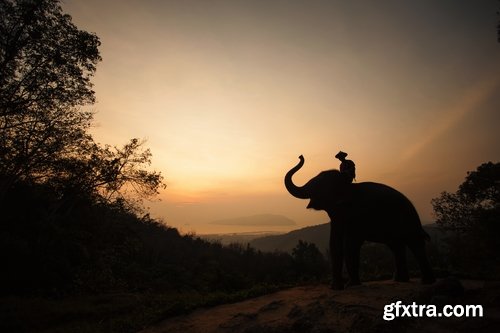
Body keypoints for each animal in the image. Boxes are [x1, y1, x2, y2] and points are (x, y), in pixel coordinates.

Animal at [286, 156, 434, 288]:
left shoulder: (356, 215)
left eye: (320, 183)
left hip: (408, 220)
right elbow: (334, 243)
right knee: (396, 246)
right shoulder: (338, 215)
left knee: (415, 243)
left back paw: (426, 282)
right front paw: (336, 287)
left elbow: (350, 244)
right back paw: (400, 280)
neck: (346, 186)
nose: (300, 156)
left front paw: (350, 284)